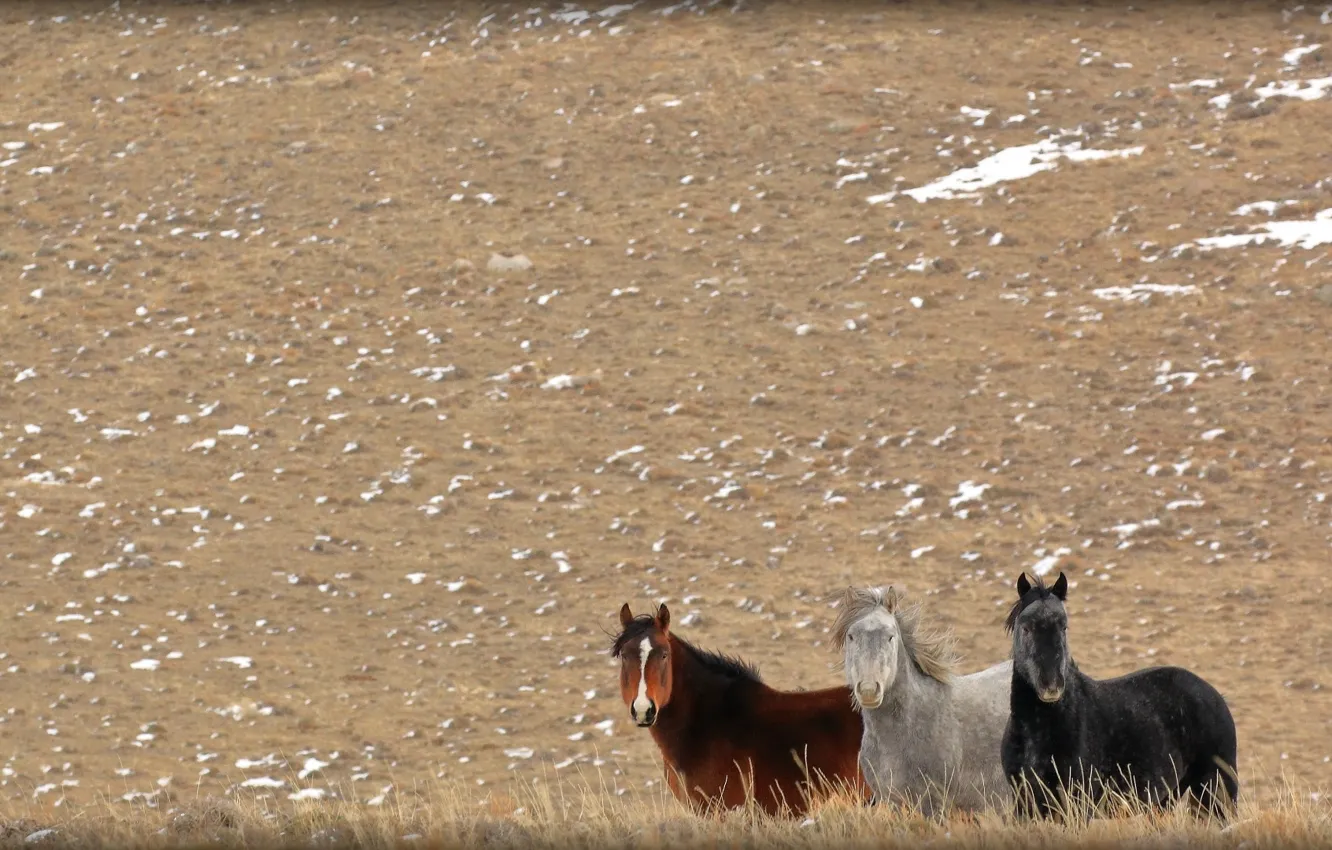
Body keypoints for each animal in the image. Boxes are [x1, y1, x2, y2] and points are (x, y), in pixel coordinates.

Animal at [1001, 571, 1239, 822]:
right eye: (1026, 628)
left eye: (1064, 627)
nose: (1052, 686)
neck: (1036, 735)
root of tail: (1215, 696)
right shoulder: (1025, 804)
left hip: (1215, 790)